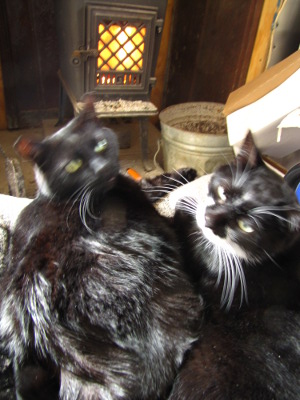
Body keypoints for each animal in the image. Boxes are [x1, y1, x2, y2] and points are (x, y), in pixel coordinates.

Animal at [0, 101, 203, 398]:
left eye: (100, 145)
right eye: (73, 166)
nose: (102, 169)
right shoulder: (143, 195)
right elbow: (156, 183)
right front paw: (187, 174)